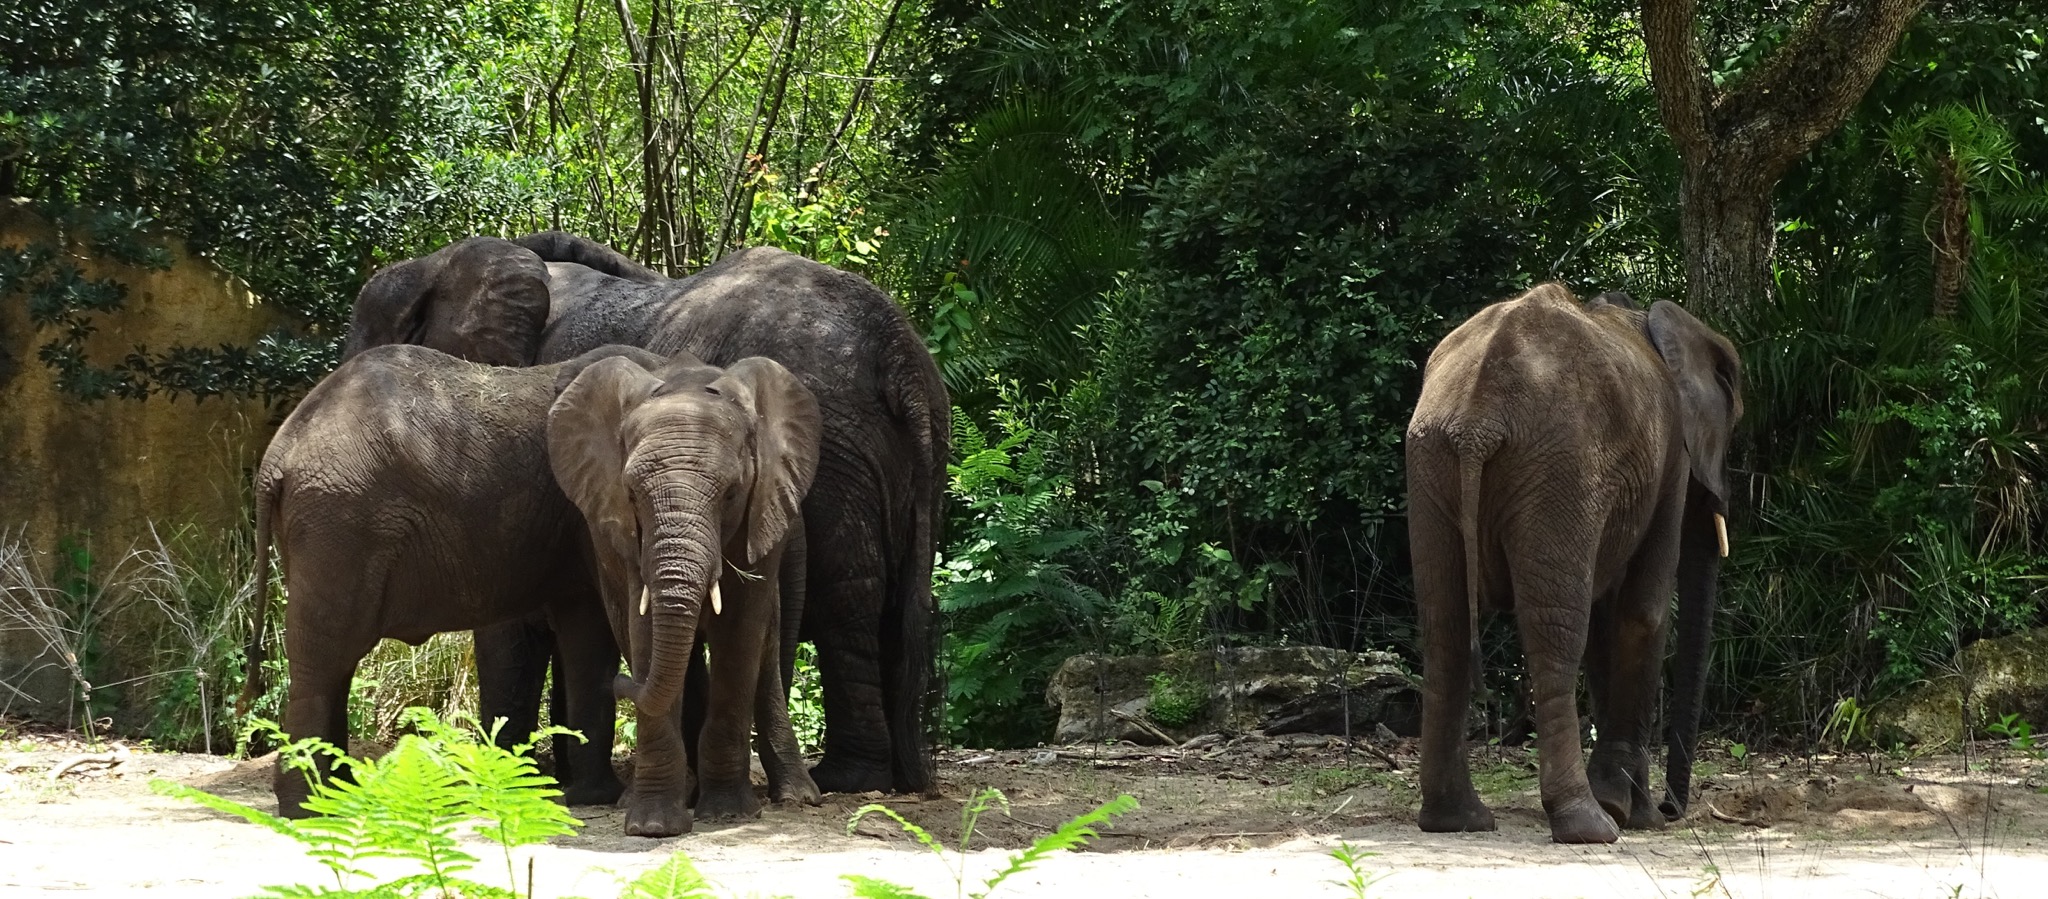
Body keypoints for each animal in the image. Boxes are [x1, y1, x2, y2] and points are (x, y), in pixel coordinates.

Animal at [243, 342, 823, 837]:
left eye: (731, 493)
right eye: (633, 493)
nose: (625, 685)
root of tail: (278, 453)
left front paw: (608, 798)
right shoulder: (594, 519)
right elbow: (607, 626)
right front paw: (609, 799)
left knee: (331, 661)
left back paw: (333, 800)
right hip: (337, 524)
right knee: (324, 657)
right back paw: (310, 810)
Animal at [1403, 283, 1742, 844]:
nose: (1672, 809)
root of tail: (1476, 416)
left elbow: (1609, 618)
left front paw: (1631, 807)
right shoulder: (1669, 455)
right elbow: (1643, 613)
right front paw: (1633, 814)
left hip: (1431, 462)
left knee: (1445, 629)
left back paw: (1458, 821)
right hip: (1561, 471)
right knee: (1555, 633)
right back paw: (1589, 826)